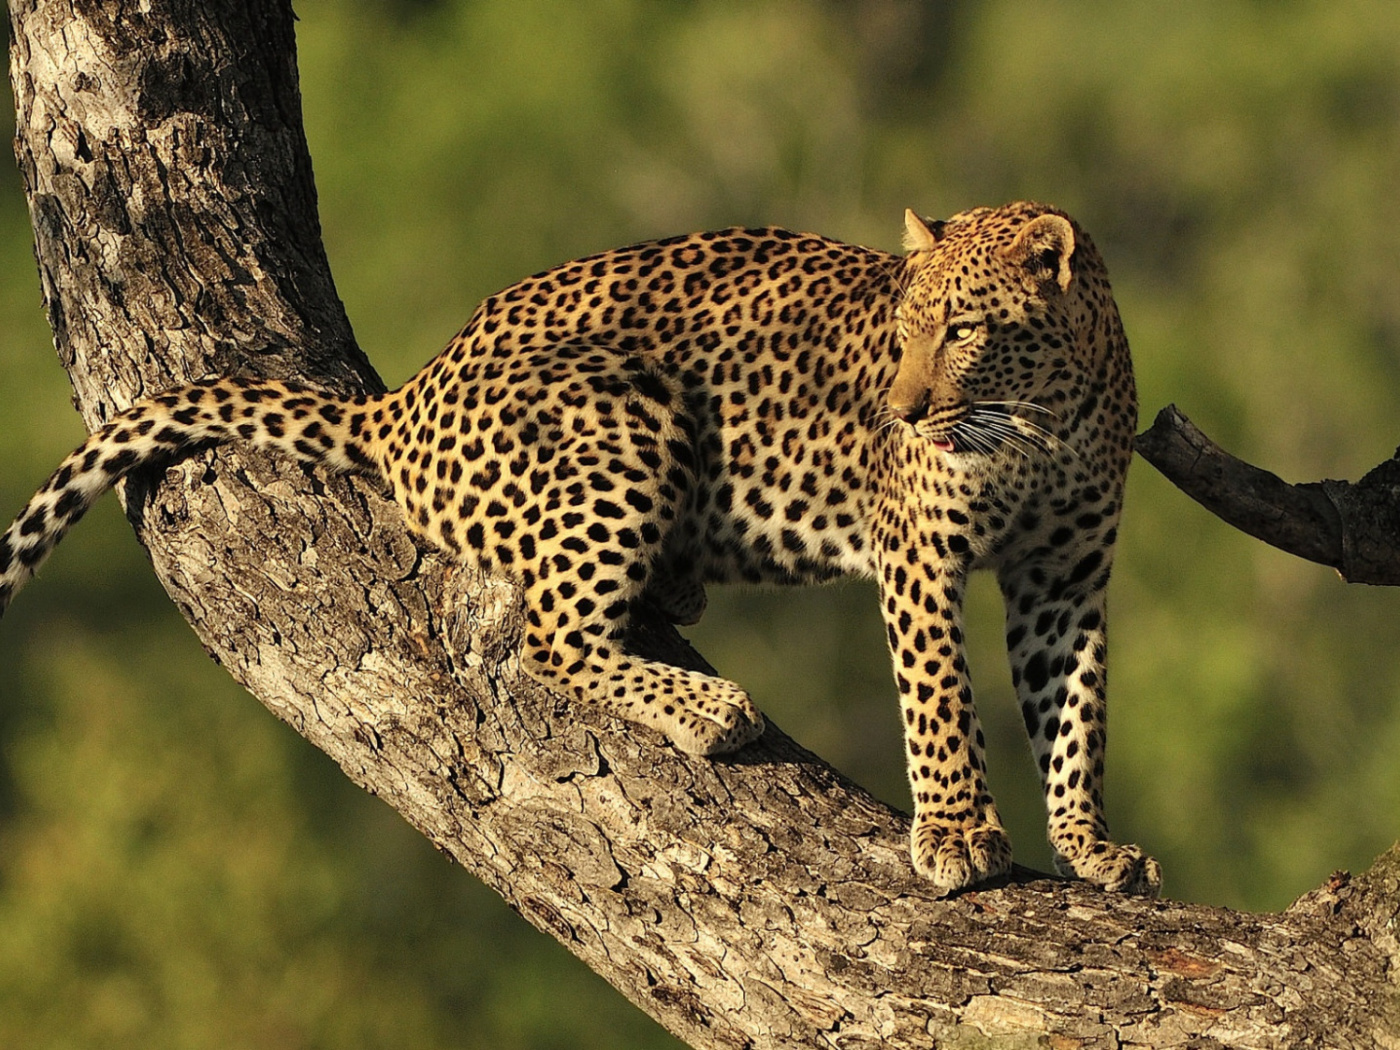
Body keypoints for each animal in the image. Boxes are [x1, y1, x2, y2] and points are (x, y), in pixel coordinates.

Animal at [0, 203, 1159, 896]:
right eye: (903, 329)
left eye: (961, 330)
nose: (901, 411)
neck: (1042, 417)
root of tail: (401, 401)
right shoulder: (919, 556)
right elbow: (941, 700)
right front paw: (958, 834)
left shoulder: (1065, 578)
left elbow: (1076, 713)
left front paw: (1092, 846)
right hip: (625, 417)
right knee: (551, 637)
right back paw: (709, 708)